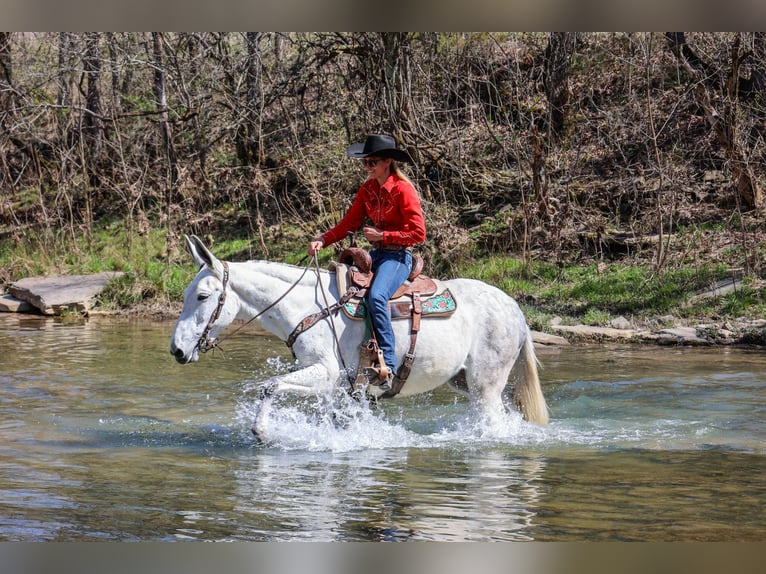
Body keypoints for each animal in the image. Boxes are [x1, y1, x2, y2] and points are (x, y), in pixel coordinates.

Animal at [171, 235, 548, 432]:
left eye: (202, 296)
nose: (177, 350)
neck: (308, 308)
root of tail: (515, 309)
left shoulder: (326, 373)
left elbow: (270, 386)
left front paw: (262, 431)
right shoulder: (331, 385)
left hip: (485, 384)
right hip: (465, 380)